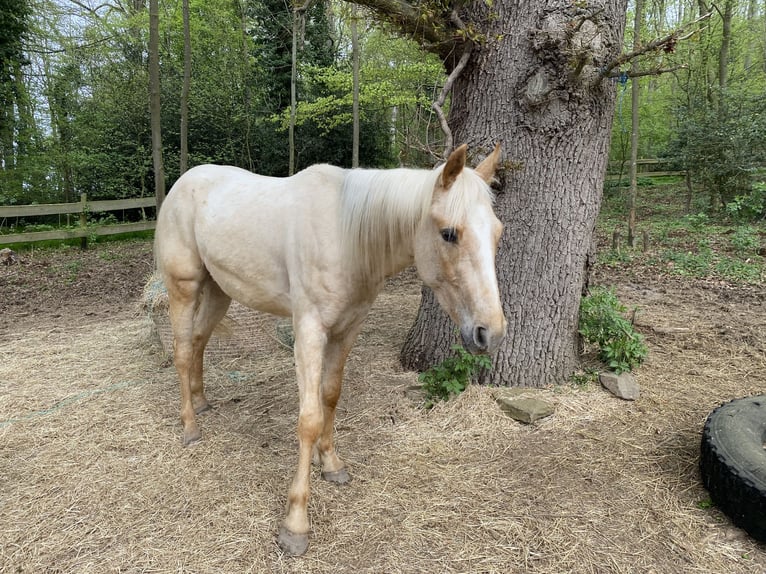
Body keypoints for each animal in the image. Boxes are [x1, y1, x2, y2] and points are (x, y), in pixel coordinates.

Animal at [153, 143, 507, 556]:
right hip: (184, 288)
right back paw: (190, 426)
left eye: (497, 233)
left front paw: (332, 464)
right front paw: (295, 524)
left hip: (218, 291)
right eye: (449, 233)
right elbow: (309, 419)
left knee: (198, 342)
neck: (345, 235)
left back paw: (201, 402)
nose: (490, 333)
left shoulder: (347, 330)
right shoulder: (309, 332)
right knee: (181, 351)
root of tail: (183, 183)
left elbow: (331, 396)